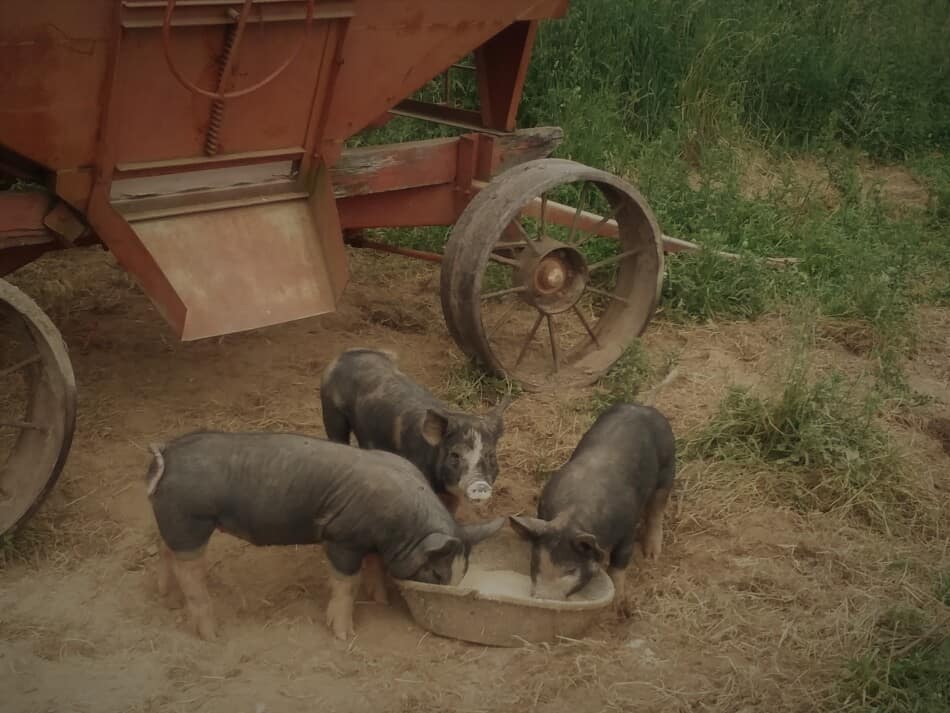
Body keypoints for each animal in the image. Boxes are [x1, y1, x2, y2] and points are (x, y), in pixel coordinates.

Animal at [144, 432, 506, 644]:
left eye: (462, 571)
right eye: (437, 573)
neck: (404, 528)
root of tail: (167, 454)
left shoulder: (369, 542)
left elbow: (373, 568)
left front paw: (380, 601)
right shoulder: (342, 538)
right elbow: (346, 583)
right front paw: (345, 636)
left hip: (175, 523)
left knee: (165, 550)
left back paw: (167, 599)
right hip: (191, 520)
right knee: (190, 573)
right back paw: (212, 636)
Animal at [510, 400, 672, 600]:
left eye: (571, 570)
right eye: (535, 563)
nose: (544, 597)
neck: (572, 516)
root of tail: (644, 406)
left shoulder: (627, 528)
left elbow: (619, 563)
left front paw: (617, 600)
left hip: (668, 468)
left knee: (658, 508)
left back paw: (652, 556)